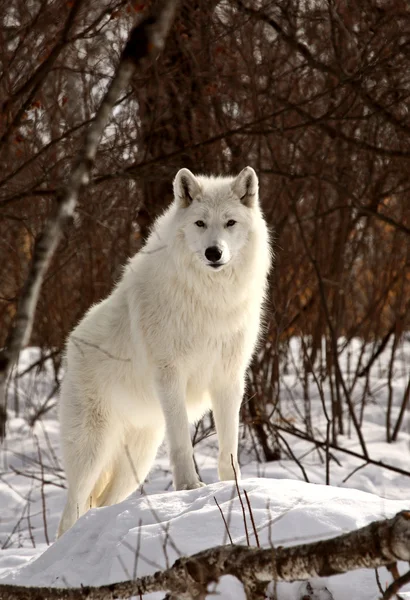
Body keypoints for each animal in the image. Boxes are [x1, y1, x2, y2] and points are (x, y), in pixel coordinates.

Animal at [56, 166, 270, 536]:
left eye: (230, 223)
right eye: (200, 223)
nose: (214, 253)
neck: (210, 300)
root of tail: (71, 345)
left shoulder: (229, 379)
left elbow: (228, 444)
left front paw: (234, 488)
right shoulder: (170, 375)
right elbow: (183, 441)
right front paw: (189, 486)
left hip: (137, 462)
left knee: (101, 504)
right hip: (92, 453)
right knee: (69, 514)